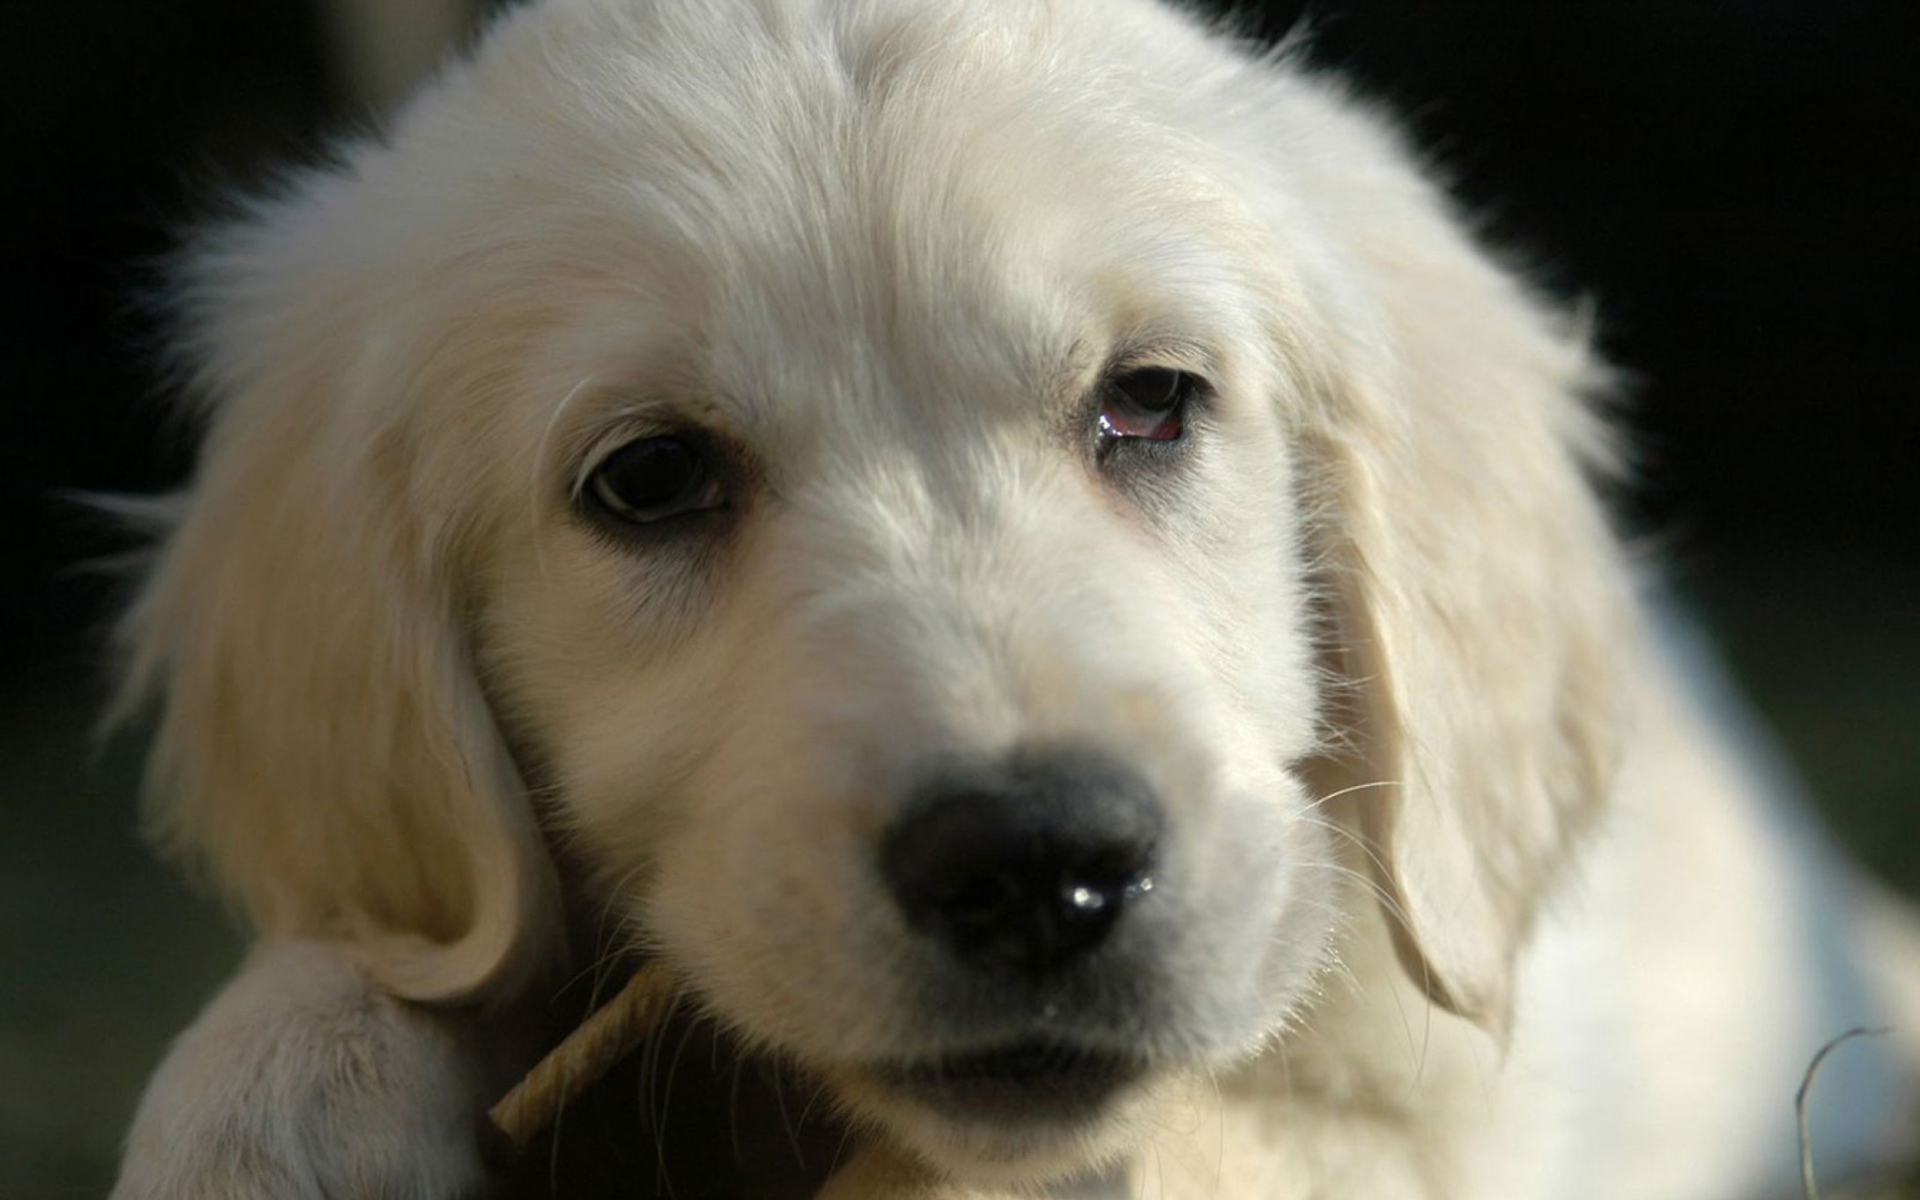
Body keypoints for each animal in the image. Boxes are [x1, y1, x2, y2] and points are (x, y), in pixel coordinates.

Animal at [108, 2, 1920, 1198]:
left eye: (1151, 401)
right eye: (649, 479)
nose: (1035, 868)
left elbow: (1239, 1131)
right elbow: (370, 958)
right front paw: (262, 1106)